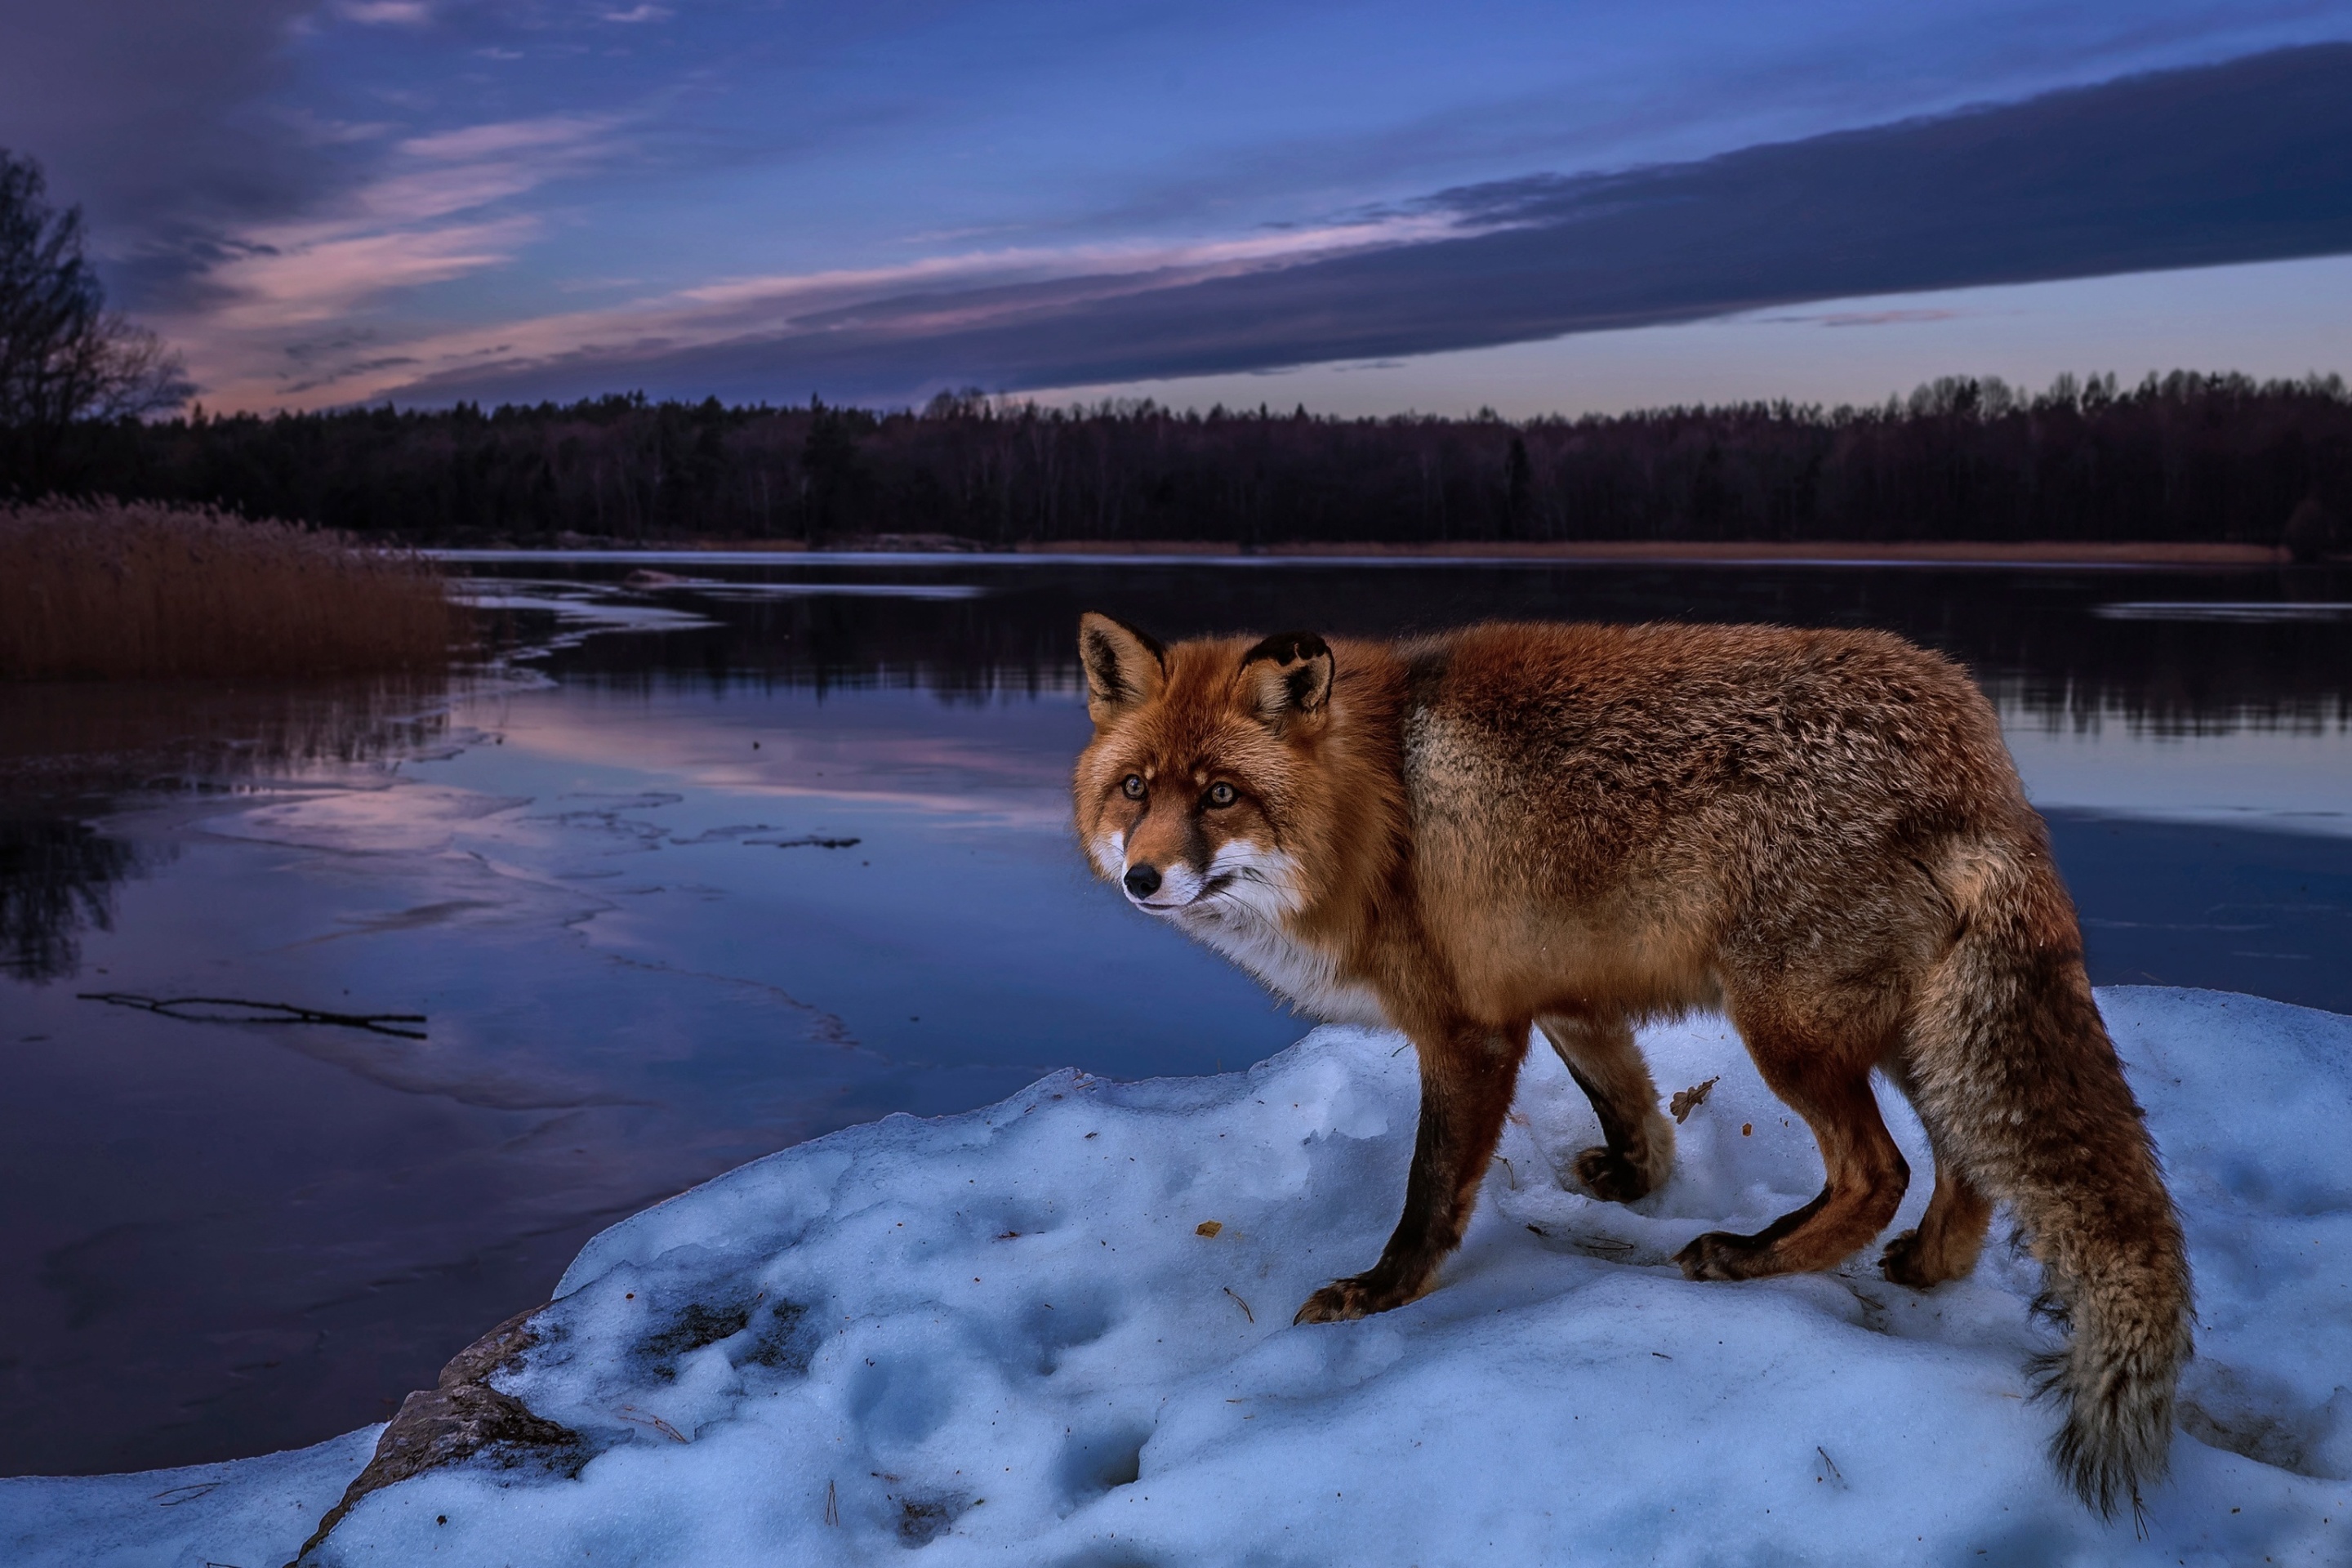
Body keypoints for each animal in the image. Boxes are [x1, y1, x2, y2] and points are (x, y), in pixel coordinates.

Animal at [1077, 611, 2192, 1523]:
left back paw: (1749, 1259)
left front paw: (1382, 1293)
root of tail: (1974, 742)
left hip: (1790, 1031)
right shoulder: (1565, 995)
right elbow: (1632, 1105)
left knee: (1882, 1173)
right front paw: (1634, 1180)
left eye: (1222, 796)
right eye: (1135, 789)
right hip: (1909, 1030)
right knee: (1967, 1167)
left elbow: (1430, 1191)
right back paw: (1924, 1267)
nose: (1142, 878)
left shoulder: (1468, 1031)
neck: (1381, 807)